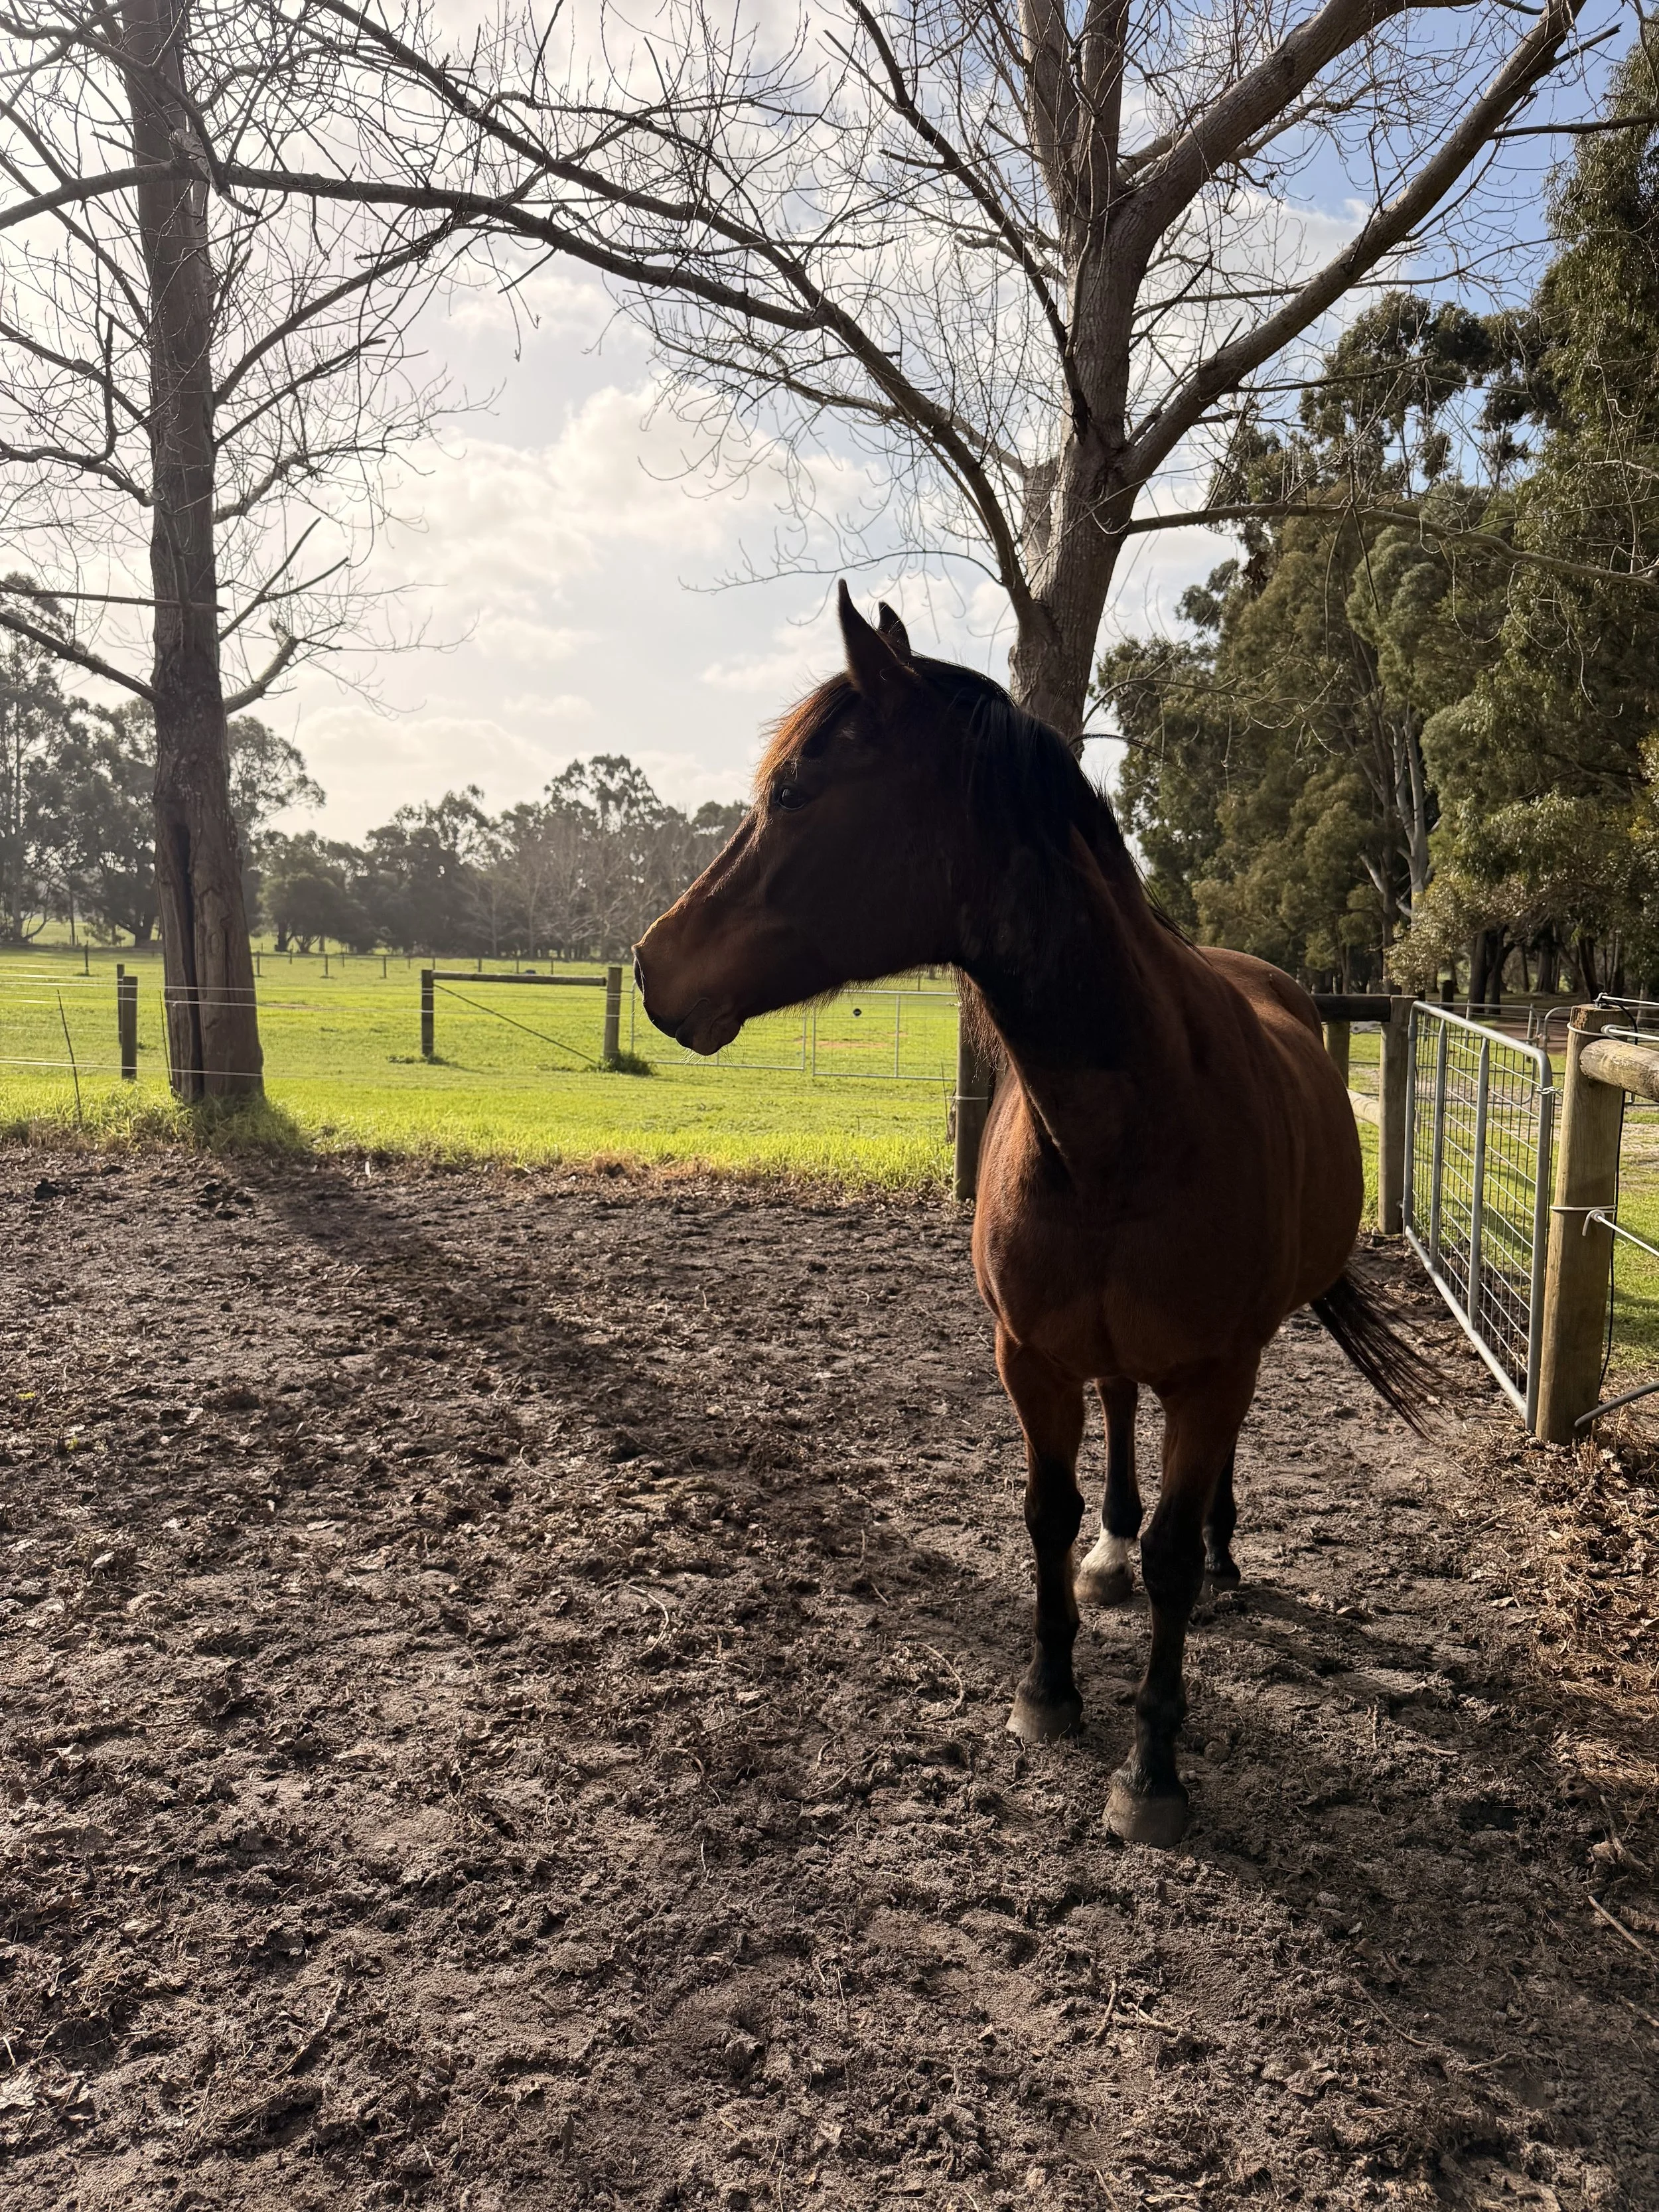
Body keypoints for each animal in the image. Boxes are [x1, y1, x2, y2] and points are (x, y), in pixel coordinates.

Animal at [634, 584, 1431, 1848]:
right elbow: (1046, 1513)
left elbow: (1172, 1561)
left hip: (1237, 1358)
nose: (652, 964)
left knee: (1205, 1486)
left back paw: (1224, 1552)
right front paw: (1049, 1686)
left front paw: (1152, 1767)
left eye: (797, 791)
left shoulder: (1214, 1367)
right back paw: (1115, 1551)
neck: (1125, 1118)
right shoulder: (1030, 1356)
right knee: (1120, 1421)